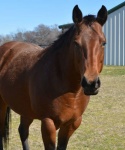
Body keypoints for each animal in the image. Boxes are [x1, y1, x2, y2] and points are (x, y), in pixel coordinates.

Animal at [0, 4, 107, 150]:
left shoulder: (72, 123)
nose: (90, 84)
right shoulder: (48, 123)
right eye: (76, 43)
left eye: (103, 43)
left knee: (23, 130)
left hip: (26, 109)